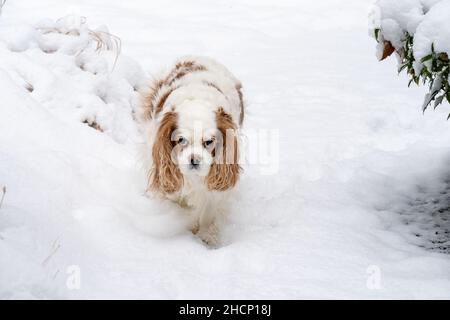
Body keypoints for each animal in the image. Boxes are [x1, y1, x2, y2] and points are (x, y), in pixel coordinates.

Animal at [142, 56, 244, 245]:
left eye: (209, 142)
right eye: (181, 140)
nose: (194, 160)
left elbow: (207, 212)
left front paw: (205, 236)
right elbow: (175, 196)